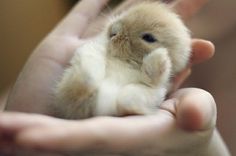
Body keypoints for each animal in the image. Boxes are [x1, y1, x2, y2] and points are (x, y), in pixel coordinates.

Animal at [54, 1, 192, 119]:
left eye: (149, 38)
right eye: (126, 13)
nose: (113, 31)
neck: (125, 60)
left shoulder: (154, 85)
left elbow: (151, 81)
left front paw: (161, 56)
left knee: (123, 102)